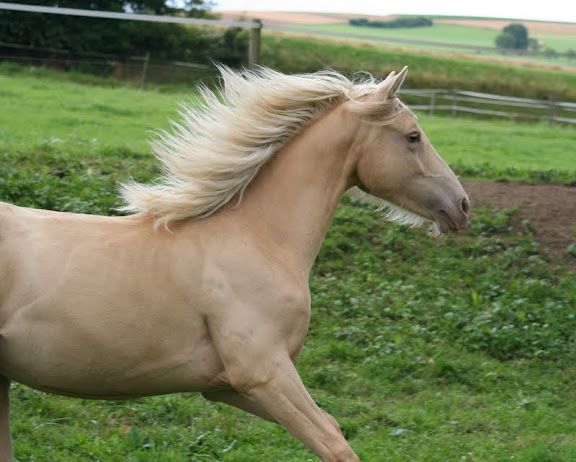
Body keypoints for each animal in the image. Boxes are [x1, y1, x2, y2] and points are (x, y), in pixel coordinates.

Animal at [0, 65, 469, 462]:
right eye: (413, 136)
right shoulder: (263, 373)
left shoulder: (225, 386)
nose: (462, 206)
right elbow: (334, 442)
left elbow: (332, 425)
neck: (261, 239)